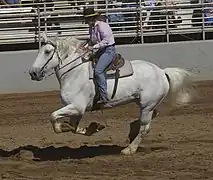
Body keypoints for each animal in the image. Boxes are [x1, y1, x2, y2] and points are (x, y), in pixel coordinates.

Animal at [29, 33, 196, 155]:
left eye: (47, 52)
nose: (33, 73)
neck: (74, 72)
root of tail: (162, 71)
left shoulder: (77, 107)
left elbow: (53, 117)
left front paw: (64, 127)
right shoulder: (77, 110)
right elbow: (73, 127)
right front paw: (93, 128)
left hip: (147, 105)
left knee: (145, 128)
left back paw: (129, 149)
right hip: (144, 103)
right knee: (152, 116)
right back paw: (131, 131)